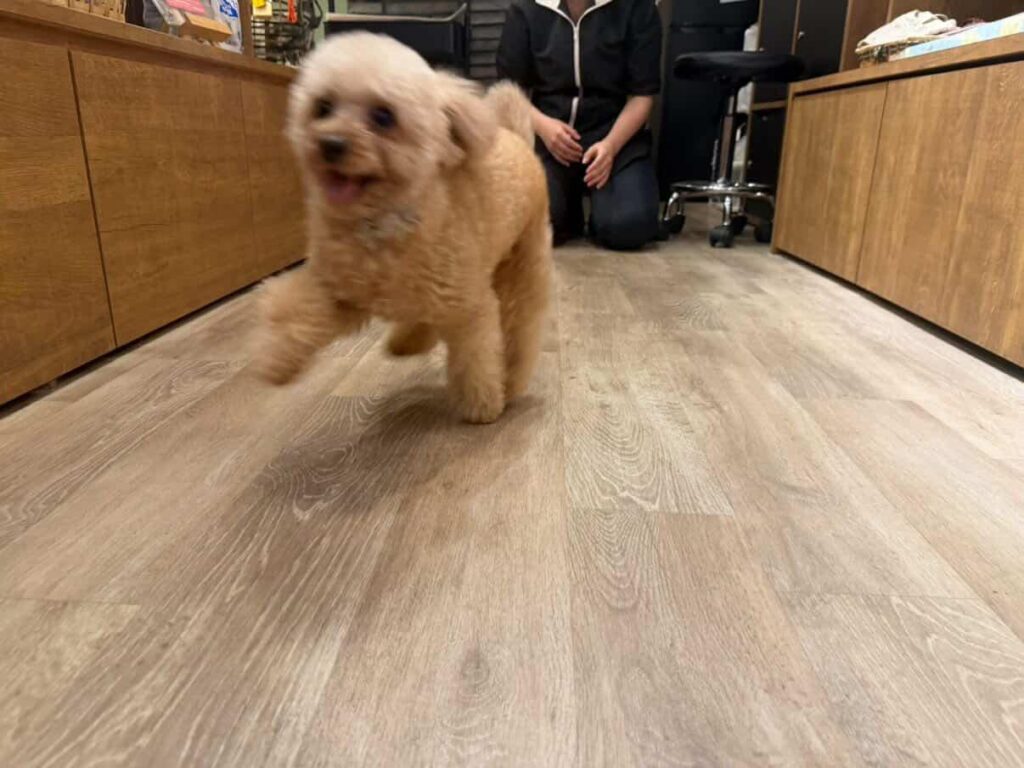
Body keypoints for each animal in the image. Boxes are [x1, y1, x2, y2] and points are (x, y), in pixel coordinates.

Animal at [253, 32, 552, 424]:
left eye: (383, 116)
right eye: (323, 106)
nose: (331, 144)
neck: (382, 223)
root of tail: (516, 136)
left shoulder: (469, 308)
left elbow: (476, 358)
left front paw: (483, 405)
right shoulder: (336, 290)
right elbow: (296, 311)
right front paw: (276, 359)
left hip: (522, 266)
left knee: (521, 329)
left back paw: (511, 382)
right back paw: (406, 342)